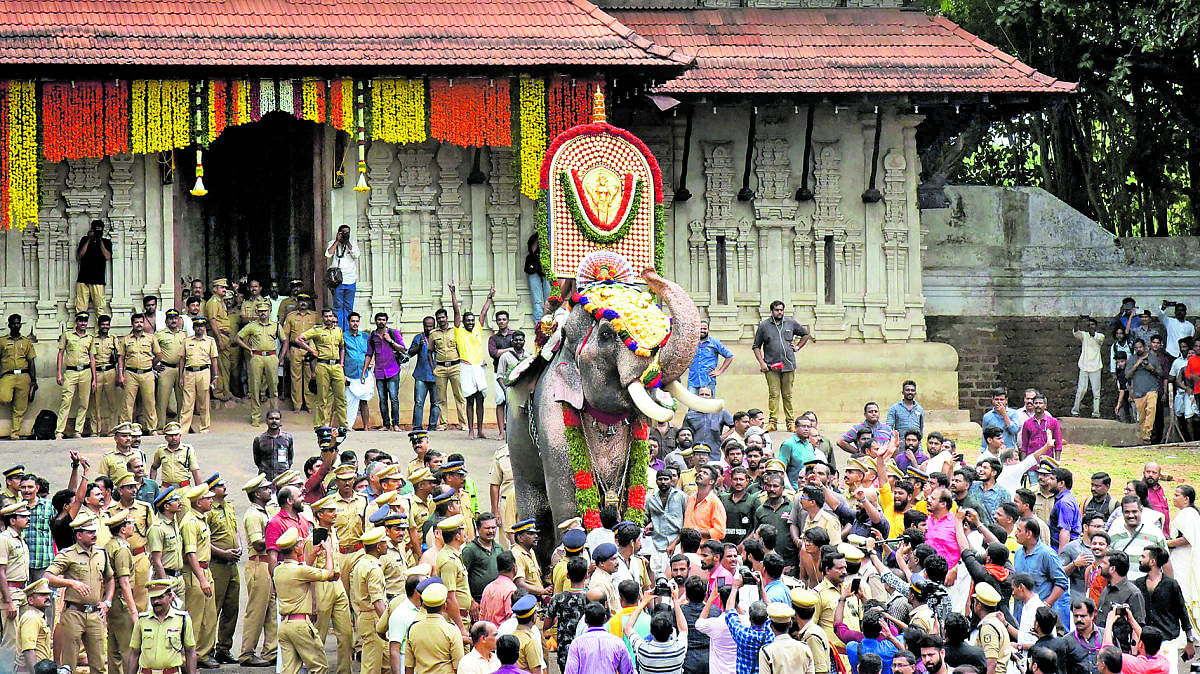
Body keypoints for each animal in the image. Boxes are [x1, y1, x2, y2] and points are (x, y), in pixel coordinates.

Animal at [499, 254, 720, 554]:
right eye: (605, 335)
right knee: (535, 507)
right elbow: (568, 497)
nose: (648, 270)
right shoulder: (551, 410)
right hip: (517, 441)